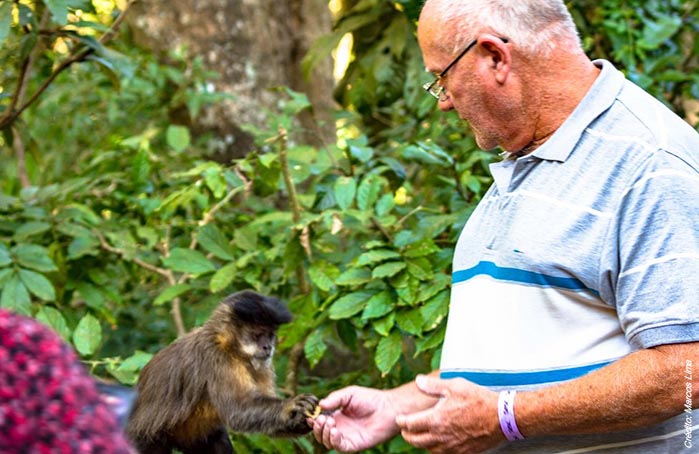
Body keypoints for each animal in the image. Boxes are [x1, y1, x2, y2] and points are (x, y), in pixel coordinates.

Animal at [126, 290, 320, 454]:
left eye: (271, 335)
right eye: (258, 334)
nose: (268, 347)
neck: (230, 345)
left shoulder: (262, 363)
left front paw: (300, 420)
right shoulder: (217, 357)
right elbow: (238, 409)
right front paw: (290, 407)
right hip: (141, 437)